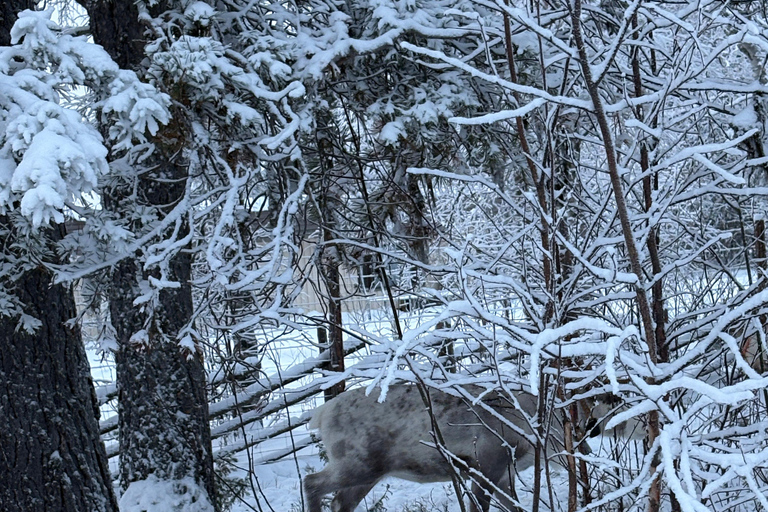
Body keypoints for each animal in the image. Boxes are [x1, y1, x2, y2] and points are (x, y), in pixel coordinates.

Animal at [304, 382, 634, 512]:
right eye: (573, 427)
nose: (584, 452)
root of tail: (320, 415)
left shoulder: (504, 474)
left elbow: (515, 507)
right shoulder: (485, 464)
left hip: (368, 472)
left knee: (339, 501)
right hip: (359, 462)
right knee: (311, 482)